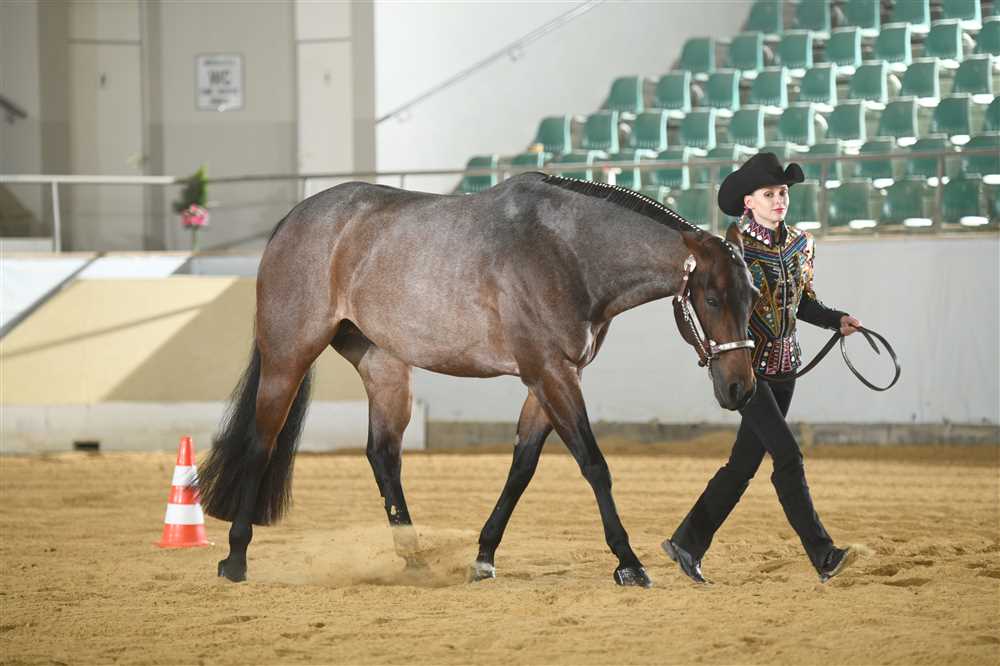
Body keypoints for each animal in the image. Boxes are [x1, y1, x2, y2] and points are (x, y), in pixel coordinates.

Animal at [197, 171, 759, 589]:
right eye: (711, 299)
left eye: (754, 296)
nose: (741, 389)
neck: (567, 252)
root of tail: (293, 219)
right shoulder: (550, 373)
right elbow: (594, 465)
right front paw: (629, 563)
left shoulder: (551, 377)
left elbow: (522, 467)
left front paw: (484, 555)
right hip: (288, 356)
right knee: (261, 443)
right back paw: (236, 559)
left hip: (384, 366)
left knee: (383, 455)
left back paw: (414, 560)